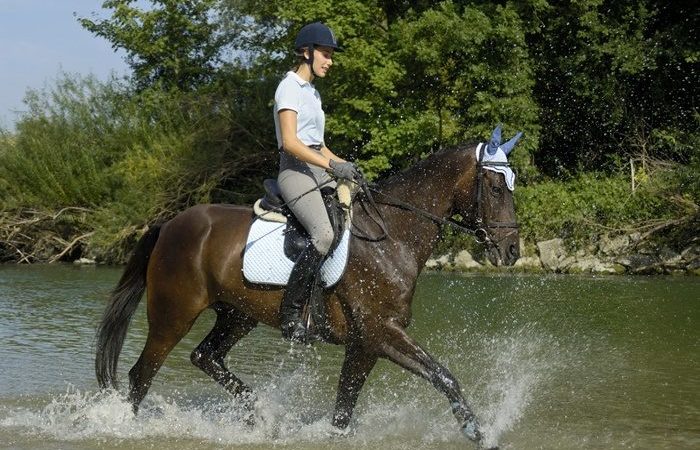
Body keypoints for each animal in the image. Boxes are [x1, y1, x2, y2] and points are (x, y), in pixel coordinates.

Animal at [94, 131, 520, 446]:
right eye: (496, 187)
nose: (512, 250)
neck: (392, 237)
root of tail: (169, 224)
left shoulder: (365, 343)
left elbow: (343, 410)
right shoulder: (381, 332)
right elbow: (443, 376)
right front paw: (478, 433)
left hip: (237, 315)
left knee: (206, 357)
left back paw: (262, 416)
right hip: (174, 316)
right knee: (140, 376)